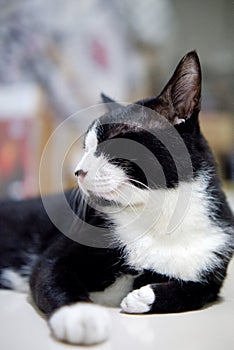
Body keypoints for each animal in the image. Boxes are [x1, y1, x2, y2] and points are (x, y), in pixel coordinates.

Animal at [0, 50, 234, 346]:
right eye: (85, 148)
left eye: (115, 139)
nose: (78, 171)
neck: (156, 214)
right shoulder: (58, 255)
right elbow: (51, 273)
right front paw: (81, 316)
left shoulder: (215, 259)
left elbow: (199, 291)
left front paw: (144, 296)